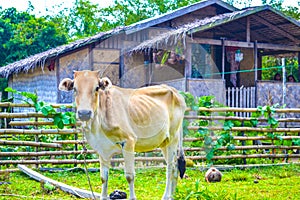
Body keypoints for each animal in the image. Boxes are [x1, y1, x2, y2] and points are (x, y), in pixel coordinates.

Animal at [58, 69, 185, 199]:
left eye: (97, 88)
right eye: (74, 89)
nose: (84, 113)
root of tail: (175, 91)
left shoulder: (129, 142)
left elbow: (129, 176)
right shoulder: (102, 149)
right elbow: (103, 177)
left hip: (173, 138)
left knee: (170, 167)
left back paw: (166, 196)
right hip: (164, 142)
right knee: (175, 166)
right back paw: (172, 195)